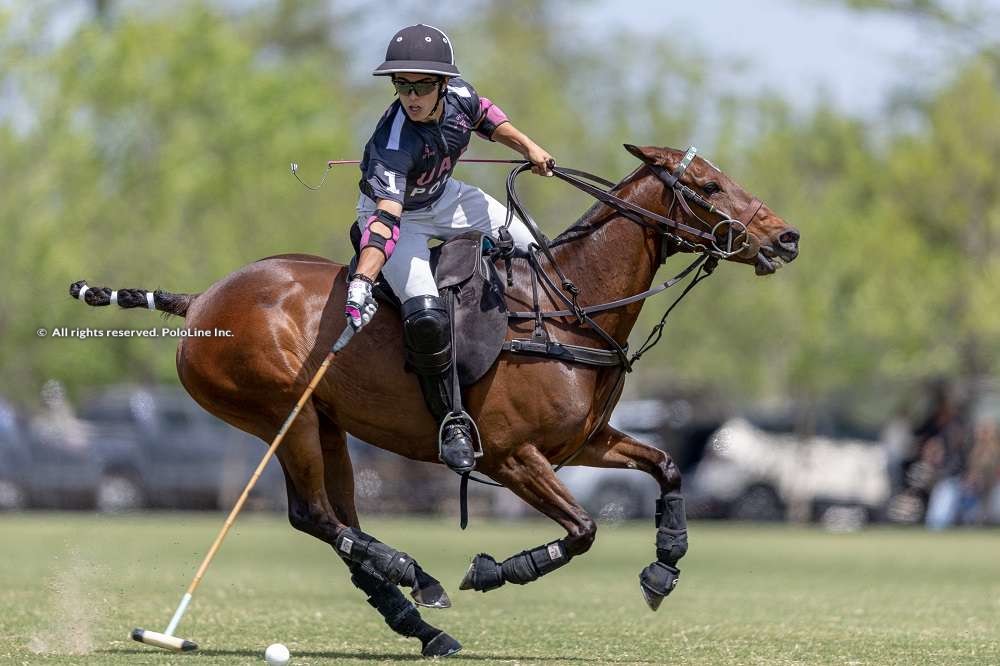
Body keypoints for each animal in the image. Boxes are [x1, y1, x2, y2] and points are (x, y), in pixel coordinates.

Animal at [72, 144, 796, 652]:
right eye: (709, 187)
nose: (786, 237)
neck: (569, 307)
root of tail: (199, 302)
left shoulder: (582, 443)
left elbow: (667, 466)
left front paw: (663, 569)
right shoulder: (511, 456)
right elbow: (584, 529)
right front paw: (493, 571)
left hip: (326, 424)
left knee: (338, 520)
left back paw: (417, 618)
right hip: (282, 413)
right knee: (314, 516)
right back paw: (414, 575)